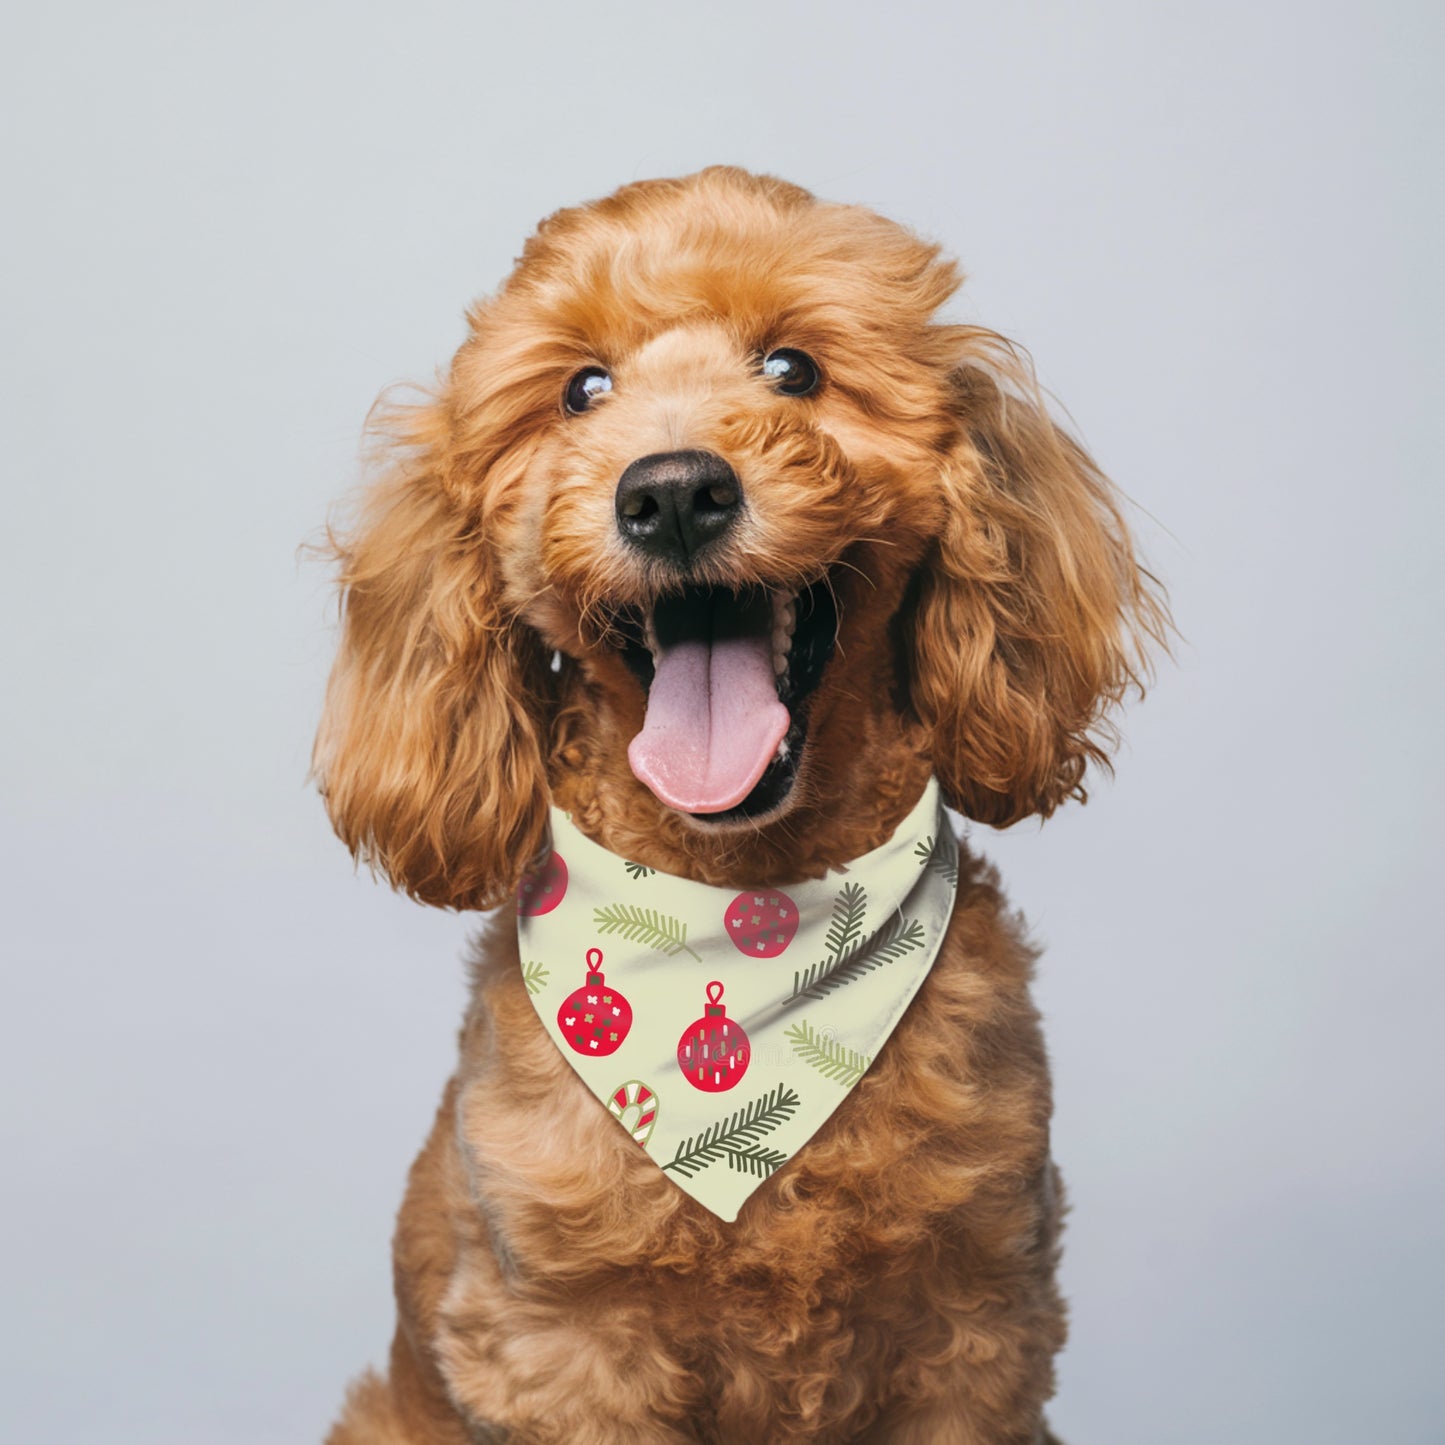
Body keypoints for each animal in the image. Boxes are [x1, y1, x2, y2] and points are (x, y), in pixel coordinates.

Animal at [313, 166, 1161, 1445]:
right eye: (581, 389)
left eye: (793, 368)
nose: (671, 491)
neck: (745, 904)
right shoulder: (565, 1348)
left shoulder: (975, 1329)